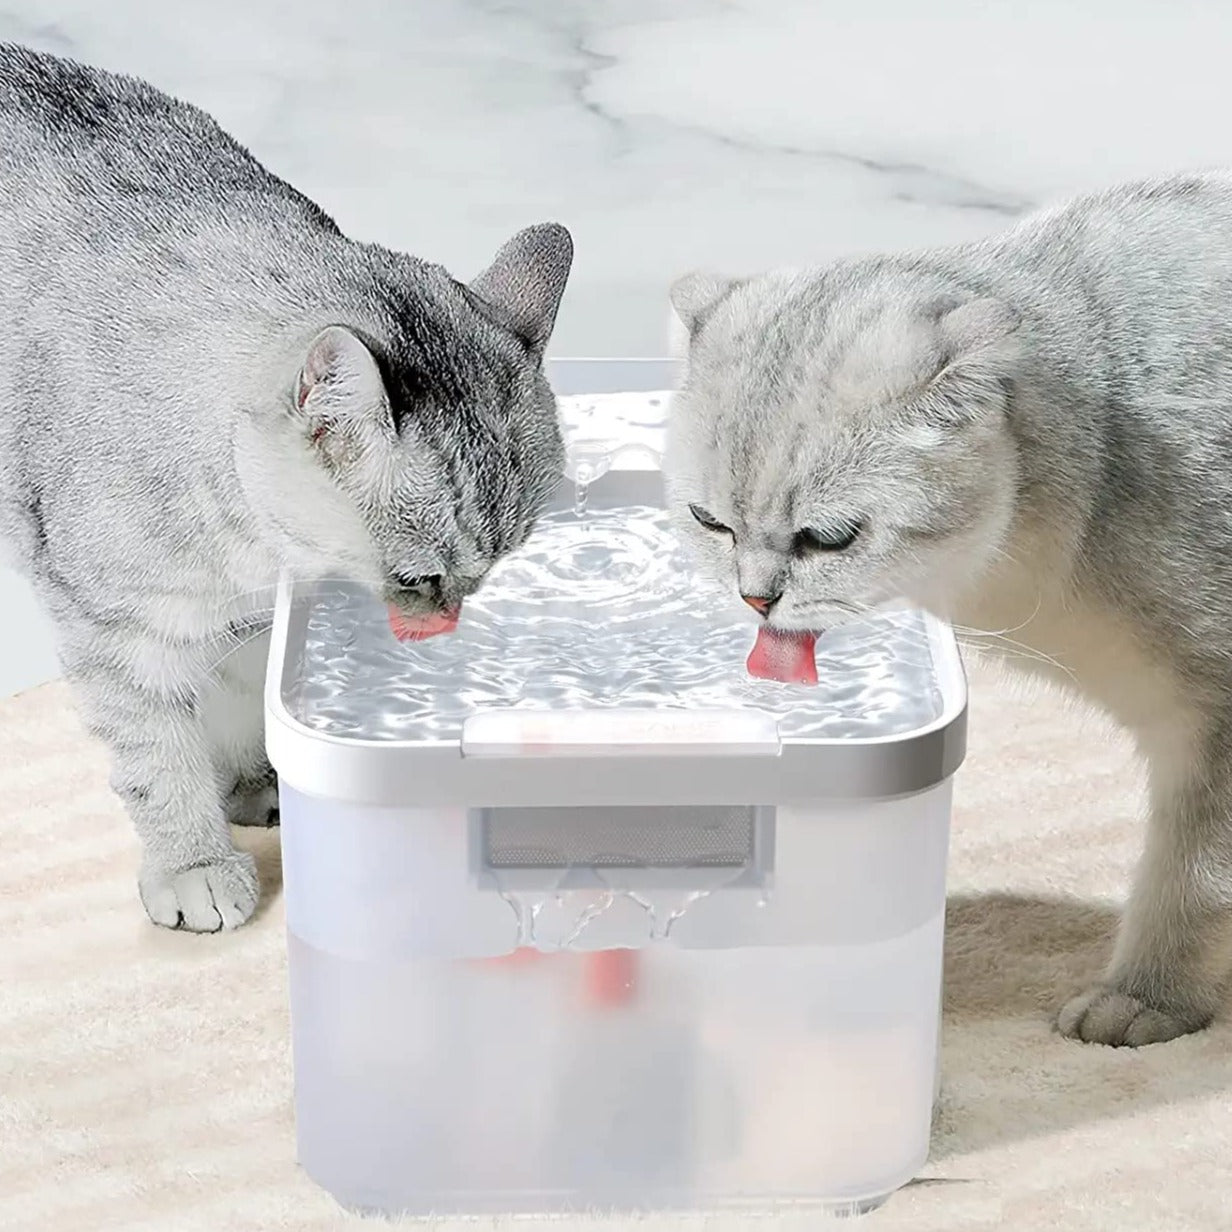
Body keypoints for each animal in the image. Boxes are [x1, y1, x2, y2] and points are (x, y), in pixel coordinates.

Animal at [0, 45, 571, 931]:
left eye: (503, 565)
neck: (254, 565)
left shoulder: (255, 624)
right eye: (418, 578)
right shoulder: (114, 626)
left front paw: (250, 781)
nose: (450, 625)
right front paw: (194, 861)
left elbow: (239, 701)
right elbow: (155, 754)